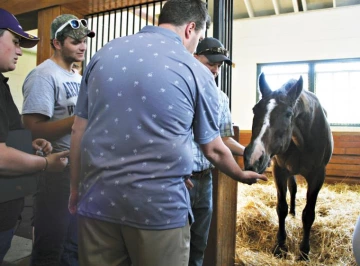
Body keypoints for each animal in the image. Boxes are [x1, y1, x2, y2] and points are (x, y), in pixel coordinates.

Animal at [243, 72, 334, 260]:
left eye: (288, 113)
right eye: (255, 109)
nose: (253, 157)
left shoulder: (317, 176)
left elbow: (308, 214)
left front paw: (304, 251)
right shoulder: (280, 171)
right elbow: (281, 208)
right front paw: (280, 246)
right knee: (293, 189)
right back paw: (293, 213)